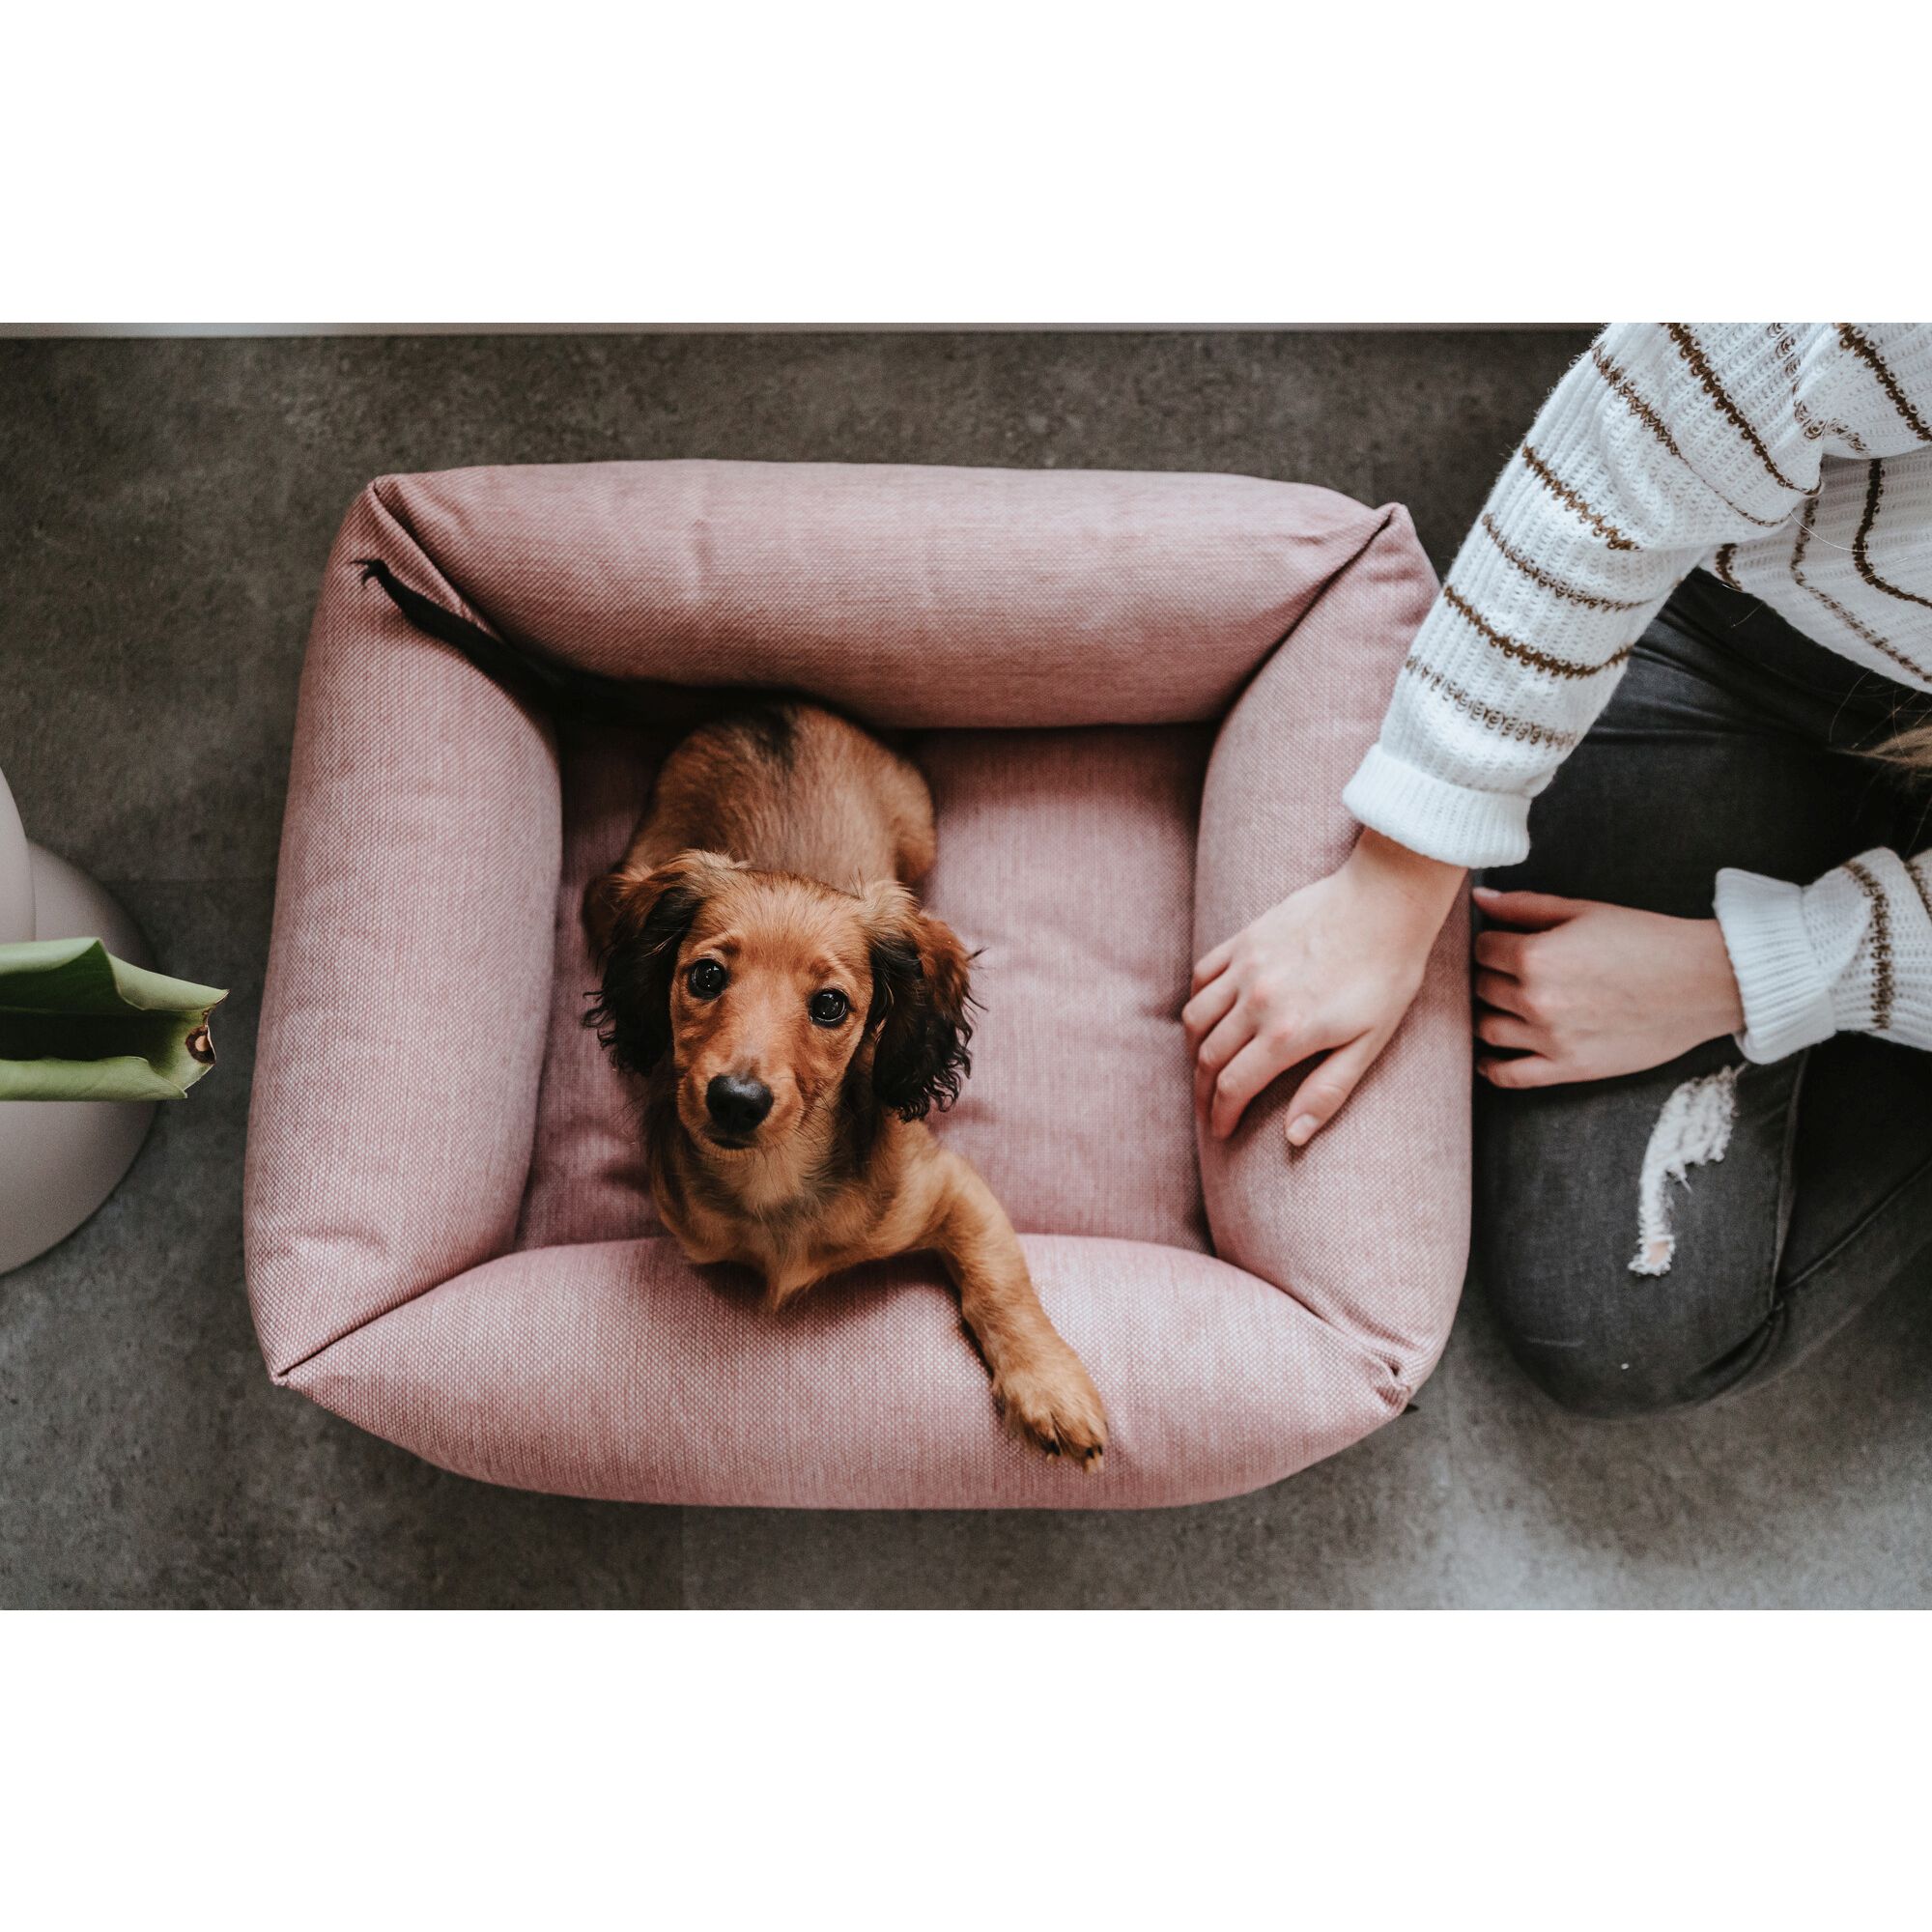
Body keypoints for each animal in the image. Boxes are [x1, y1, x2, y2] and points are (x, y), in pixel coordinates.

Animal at [583, 701, 1108, 1468]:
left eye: (831, 1005)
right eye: (705, 976)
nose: (735, 1102)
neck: (776, 1182)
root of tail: (769, 705)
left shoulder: (950, 1187)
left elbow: (1000, 1283)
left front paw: (1050, 1387)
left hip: (919, 832)